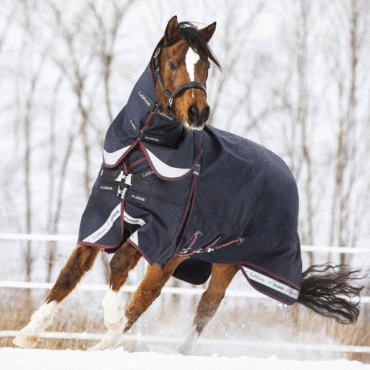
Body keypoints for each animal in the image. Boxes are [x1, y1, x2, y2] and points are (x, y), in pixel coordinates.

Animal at [13, 15, 362, 354]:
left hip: (220, 261)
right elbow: (69, 274)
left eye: (205, 67)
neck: (140, 151)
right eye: (172, 63)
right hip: (185, 255)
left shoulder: (159, 232)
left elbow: (119, 263)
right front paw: (27, 335)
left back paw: (121, 344)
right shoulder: (107, 219)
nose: (198, 112)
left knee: (196, 304)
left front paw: (110, 317)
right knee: (158, 297)